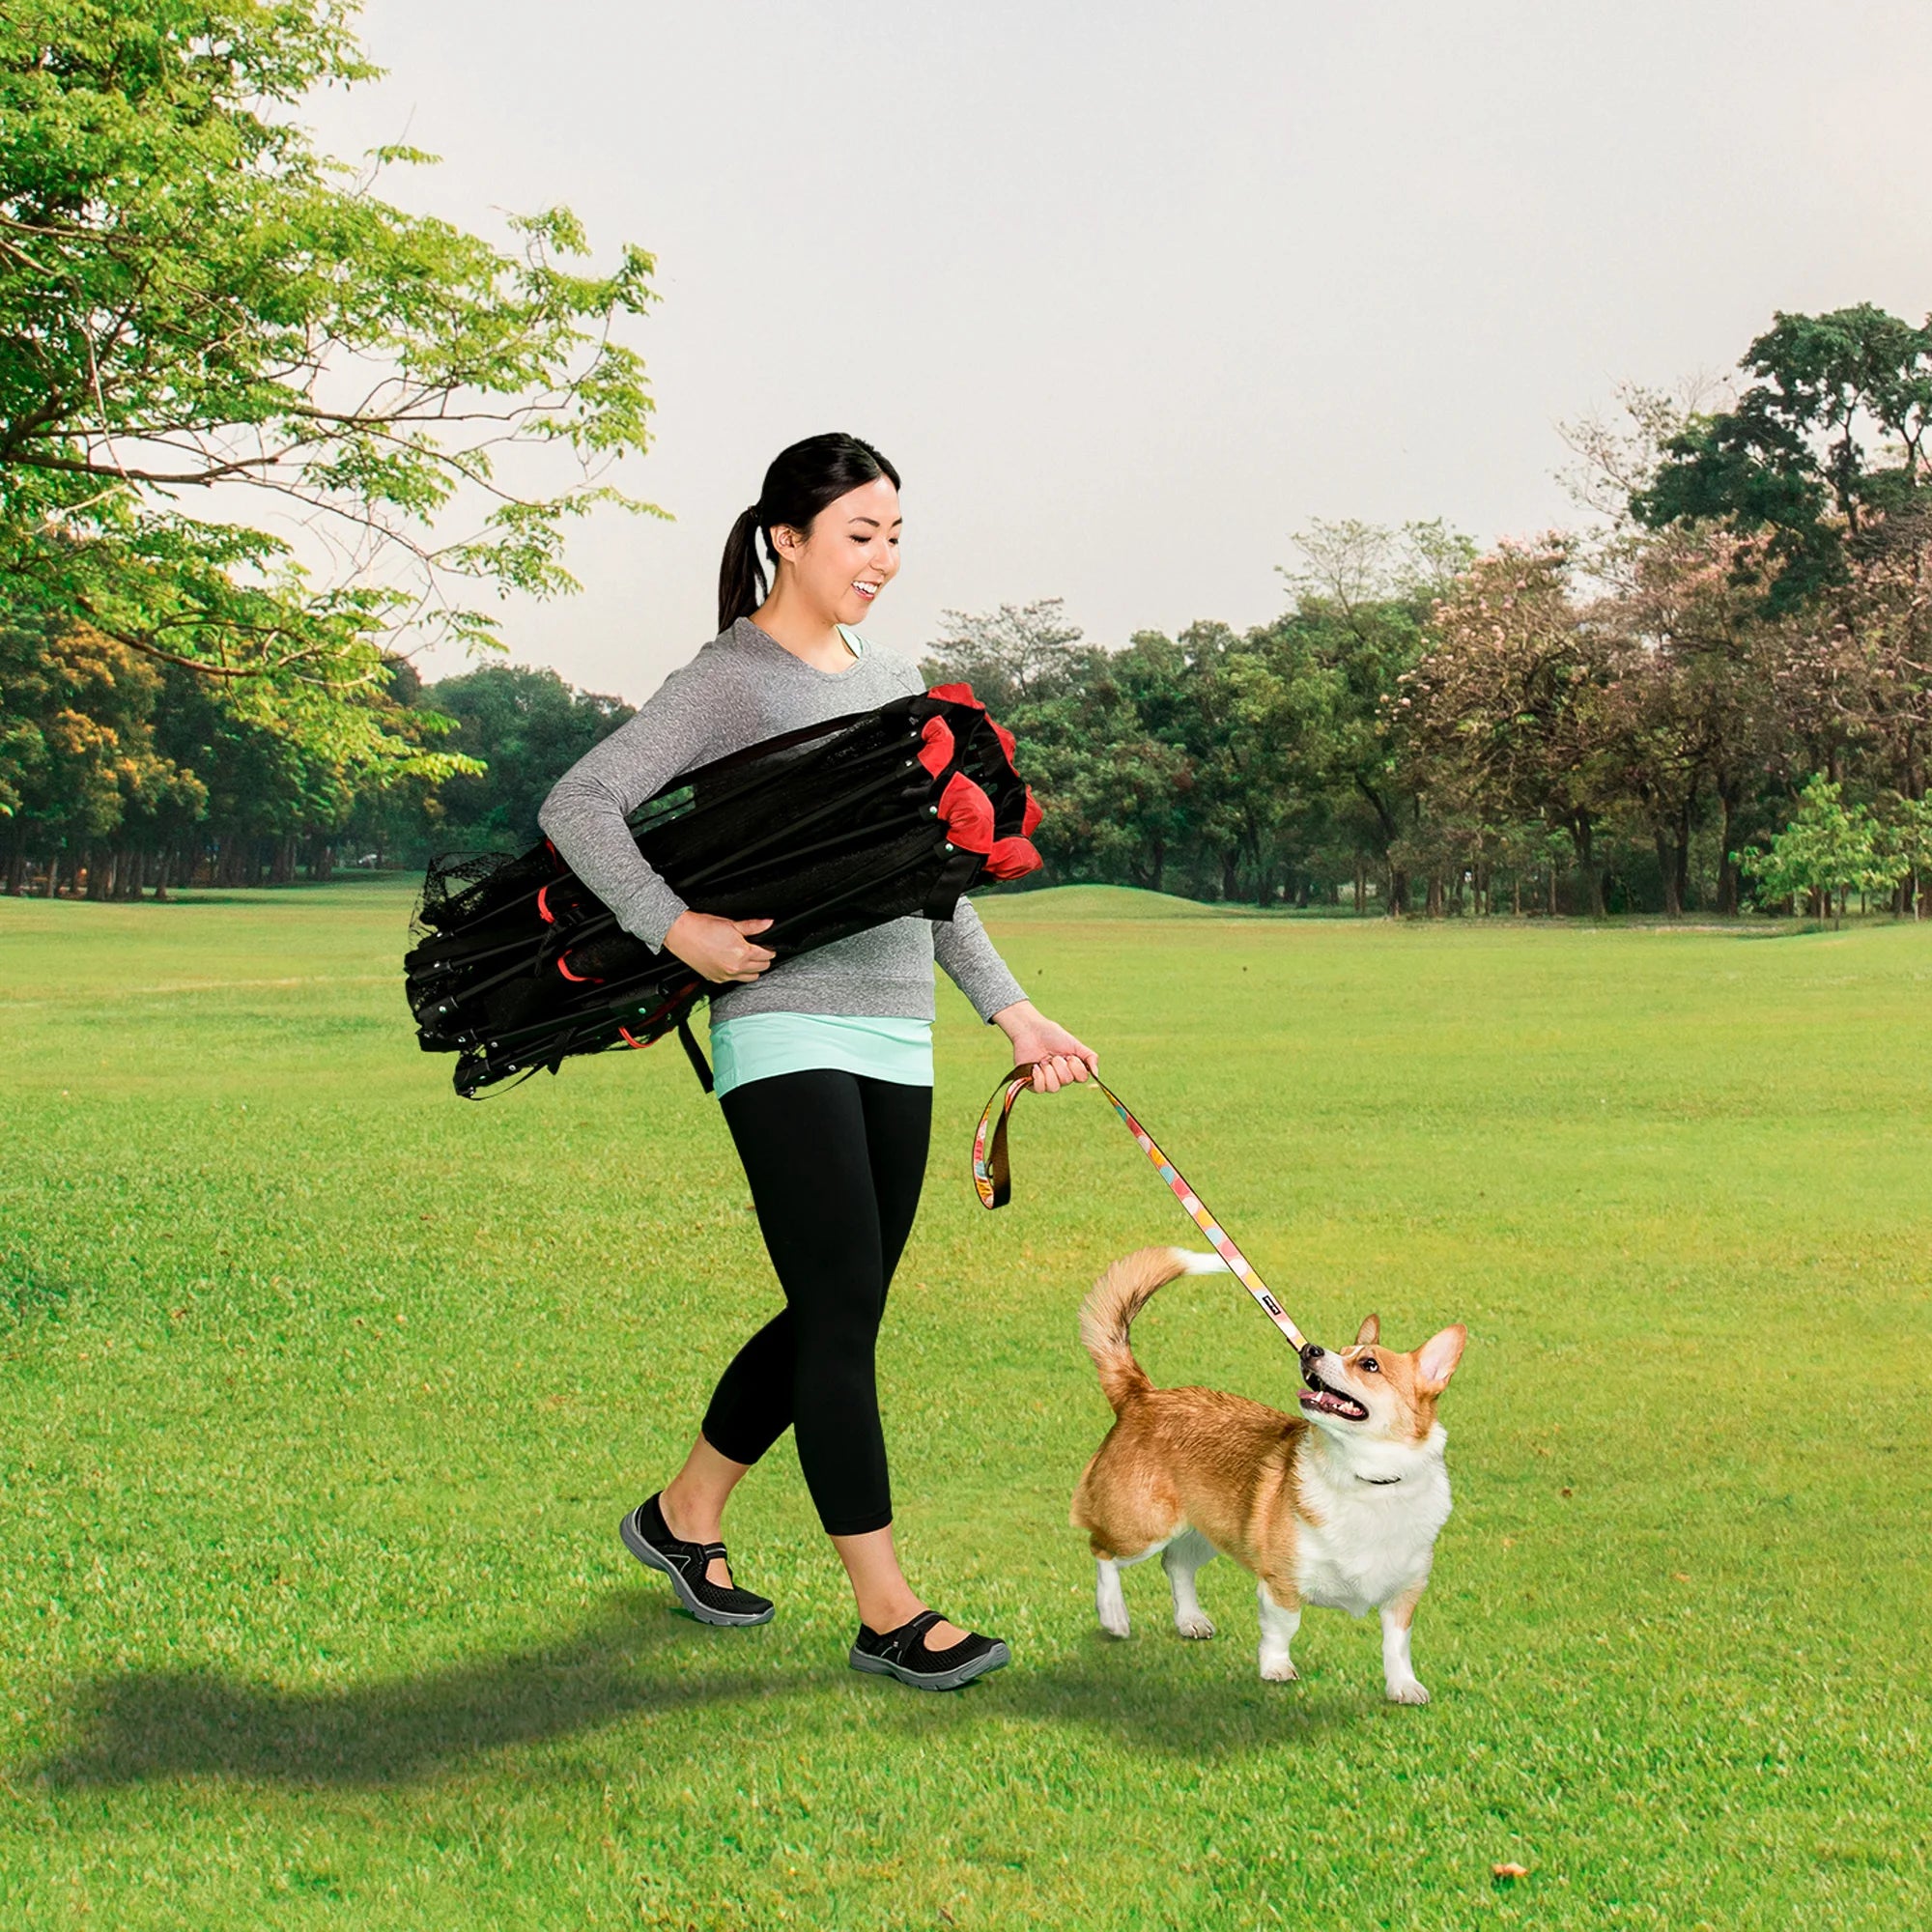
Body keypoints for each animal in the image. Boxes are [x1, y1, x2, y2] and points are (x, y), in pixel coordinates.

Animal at [1074, 1244, 1461, 1700]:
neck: (1366, 1480)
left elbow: (1396, 1644)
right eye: (1340, 1351)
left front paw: (1404, 1687)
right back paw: (1113, 1615)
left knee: (1177, 1564)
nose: (1310, 1349)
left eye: (1368, 1364)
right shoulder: (1281, 1583)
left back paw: (1190, 1620)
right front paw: (1276, 1668)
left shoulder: (1404, 1592)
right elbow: (1282, 1628)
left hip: (1211, 1527)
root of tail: (1141, 1394)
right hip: (1144, 1526)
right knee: (1102, 1551)